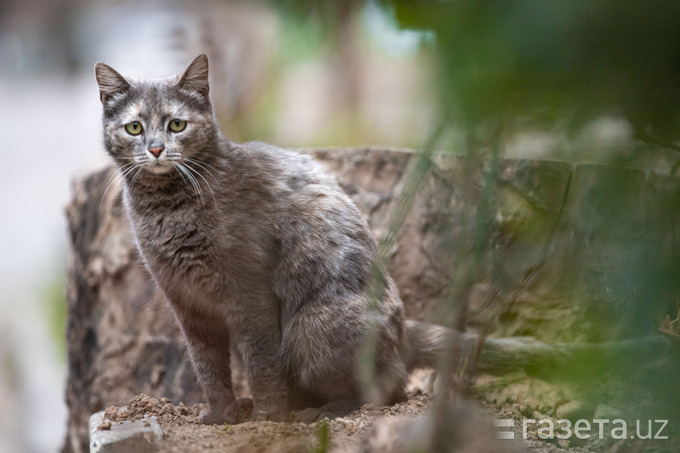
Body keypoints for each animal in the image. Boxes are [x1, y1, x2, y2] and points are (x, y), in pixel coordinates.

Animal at [93, 54, 448, 422]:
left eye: (177, 124)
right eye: (134, 127)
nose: (156, 148)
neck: (169, 208)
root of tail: (406, 333)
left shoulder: (250, 294)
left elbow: (261, 362)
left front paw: (266, 416)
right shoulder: (187, 304)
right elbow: (208, 366)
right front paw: (222, 415)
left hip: (310, 330)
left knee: (382, 390)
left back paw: (319, 411)